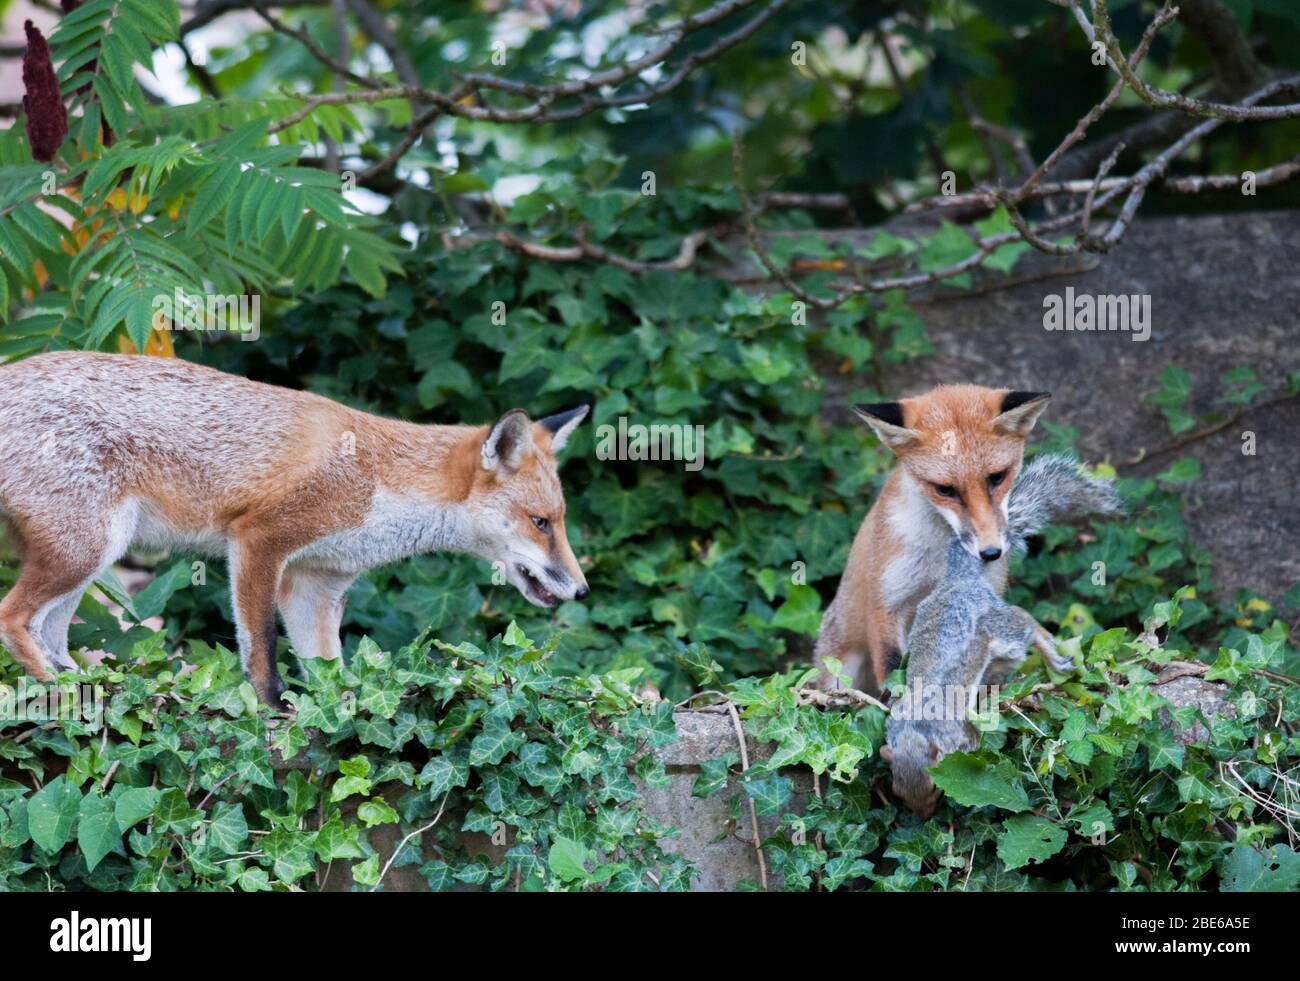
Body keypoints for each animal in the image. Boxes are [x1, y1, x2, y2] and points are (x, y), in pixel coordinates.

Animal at [0, 353, 590, 706]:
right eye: (541, 523)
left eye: (559, 521)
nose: (583, 590)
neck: (381, 479)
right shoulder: (259, 540)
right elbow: (261, 645)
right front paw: (272, 709)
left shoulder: (315, 584)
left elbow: (328, 669)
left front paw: (337, 713)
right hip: (88, 548)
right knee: (12, 617)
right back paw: (57, 695)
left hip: (92, 557)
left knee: (51, 631)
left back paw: (87, 687)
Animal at [816, 387, 1050, 696]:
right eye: (945, 489)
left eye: (997, 477)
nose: (990, 553)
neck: (940, 559)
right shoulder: (885, 601)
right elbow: (893, 668)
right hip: (840, 667)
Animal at [878, 457, 1123, 815]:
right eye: (897, 790)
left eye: (935, 788)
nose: (923, 817)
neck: (916, 731)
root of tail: (959, 578)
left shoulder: (959, 734)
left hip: (1001, 629)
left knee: (1026, 624)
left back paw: (1053, 656)